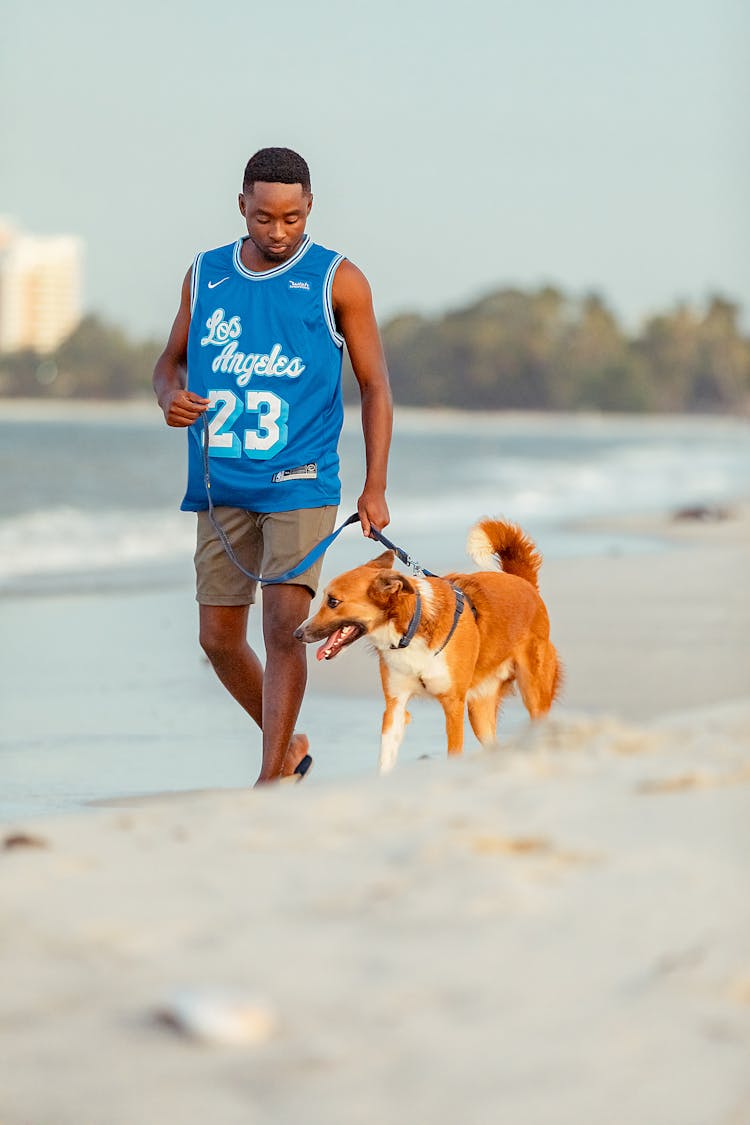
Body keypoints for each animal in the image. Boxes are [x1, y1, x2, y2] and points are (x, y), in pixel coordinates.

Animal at [296, 519, 559, 774]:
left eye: (333, 602)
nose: (297, 633)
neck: (410, 627)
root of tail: (522, 581)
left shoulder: (453, 705)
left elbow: (454, 752)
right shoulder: (395, 705)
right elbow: (385, 759)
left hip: (533, 694)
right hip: (480, 709)